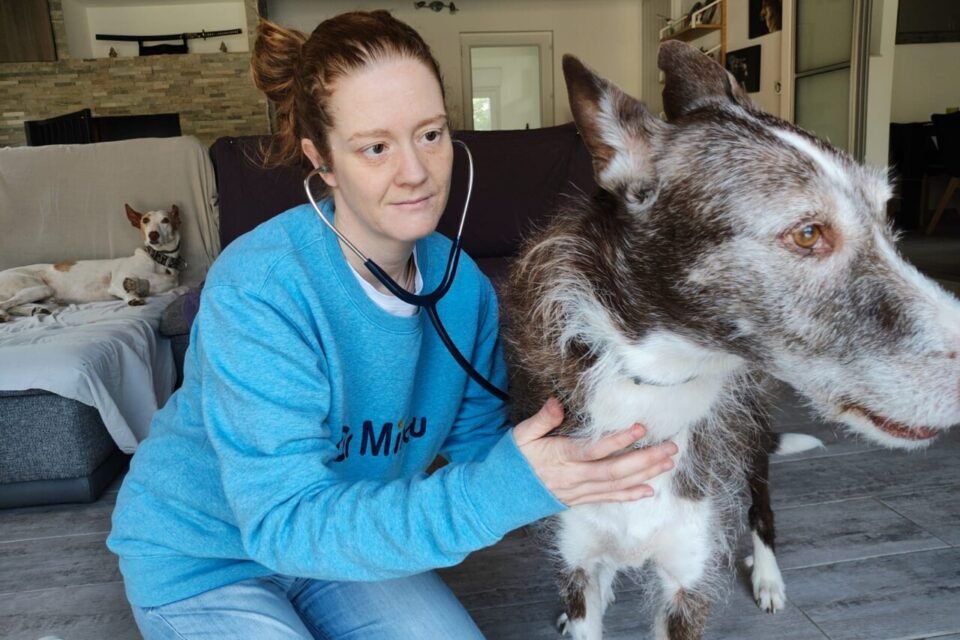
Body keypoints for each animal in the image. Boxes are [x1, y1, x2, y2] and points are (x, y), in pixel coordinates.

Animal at [0, 202, 184, 322]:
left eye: (166, 220)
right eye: (145, 220)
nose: (153, 235)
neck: (158, 260)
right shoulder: (116, 283)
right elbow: (128, 287)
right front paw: (133, 297)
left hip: (47, 296)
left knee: (14, 305)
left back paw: (35, 309)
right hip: (40, 288)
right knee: (4, 303)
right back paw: (6, 314)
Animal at [502, 41, 960, 640]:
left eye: (887, 216)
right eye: (808, 234)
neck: (656, 385)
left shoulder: (687, 585)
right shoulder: (578, 565)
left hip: (754, 438)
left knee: (761, 508)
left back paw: (767, 576)